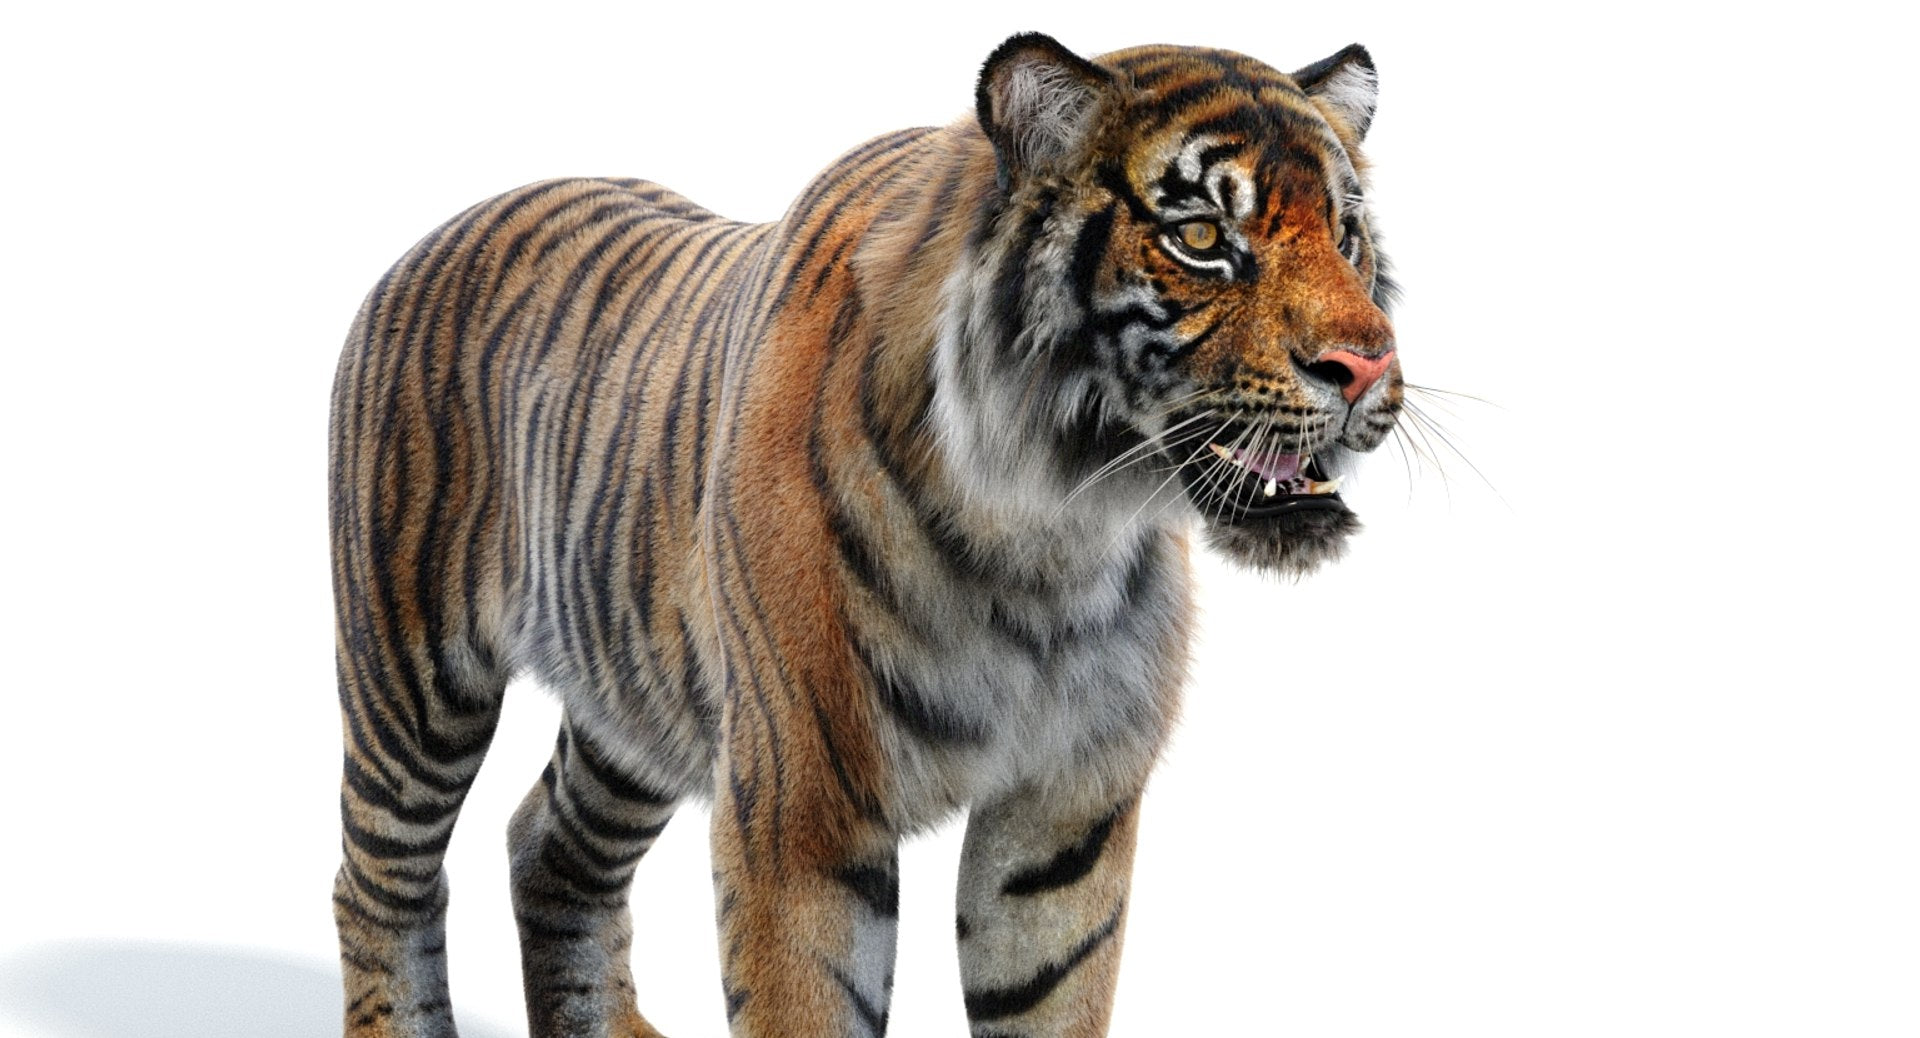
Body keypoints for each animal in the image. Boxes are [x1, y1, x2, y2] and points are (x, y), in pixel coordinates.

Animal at [329, 31, 1400, 1038]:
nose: (1365, 364)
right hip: (412, 680)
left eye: (1347, 234)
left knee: (548, 845)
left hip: (632, 707)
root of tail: (439, 231)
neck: (1054, 532)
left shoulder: (1065, 815)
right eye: (1202, 236)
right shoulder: (801, 810)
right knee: (378, 880)